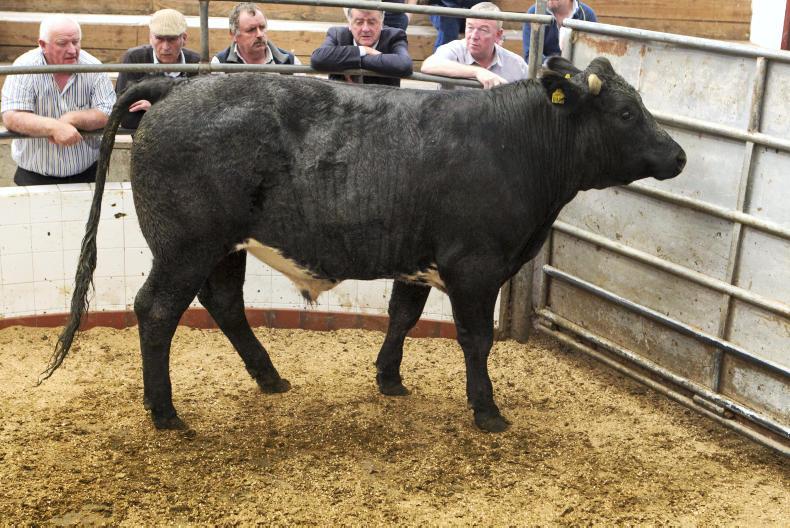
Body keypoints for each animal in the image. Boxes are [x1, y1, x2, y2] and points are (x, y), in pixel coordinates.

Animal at [42, 56, 686, 433]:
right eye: (626, 112)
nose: (679, 155)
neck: (517, 144)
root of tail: (176, 88)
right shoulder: (475, 267)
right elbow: (476, 341)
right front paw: (487, 411)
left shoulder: (419, 261)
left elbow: (402, 316)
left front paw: (389, 379)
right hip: (185, 246)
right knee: (156, 312)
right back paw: (166, 413)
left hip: (223, 247)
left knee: (224, 304)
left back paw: (270, 378)